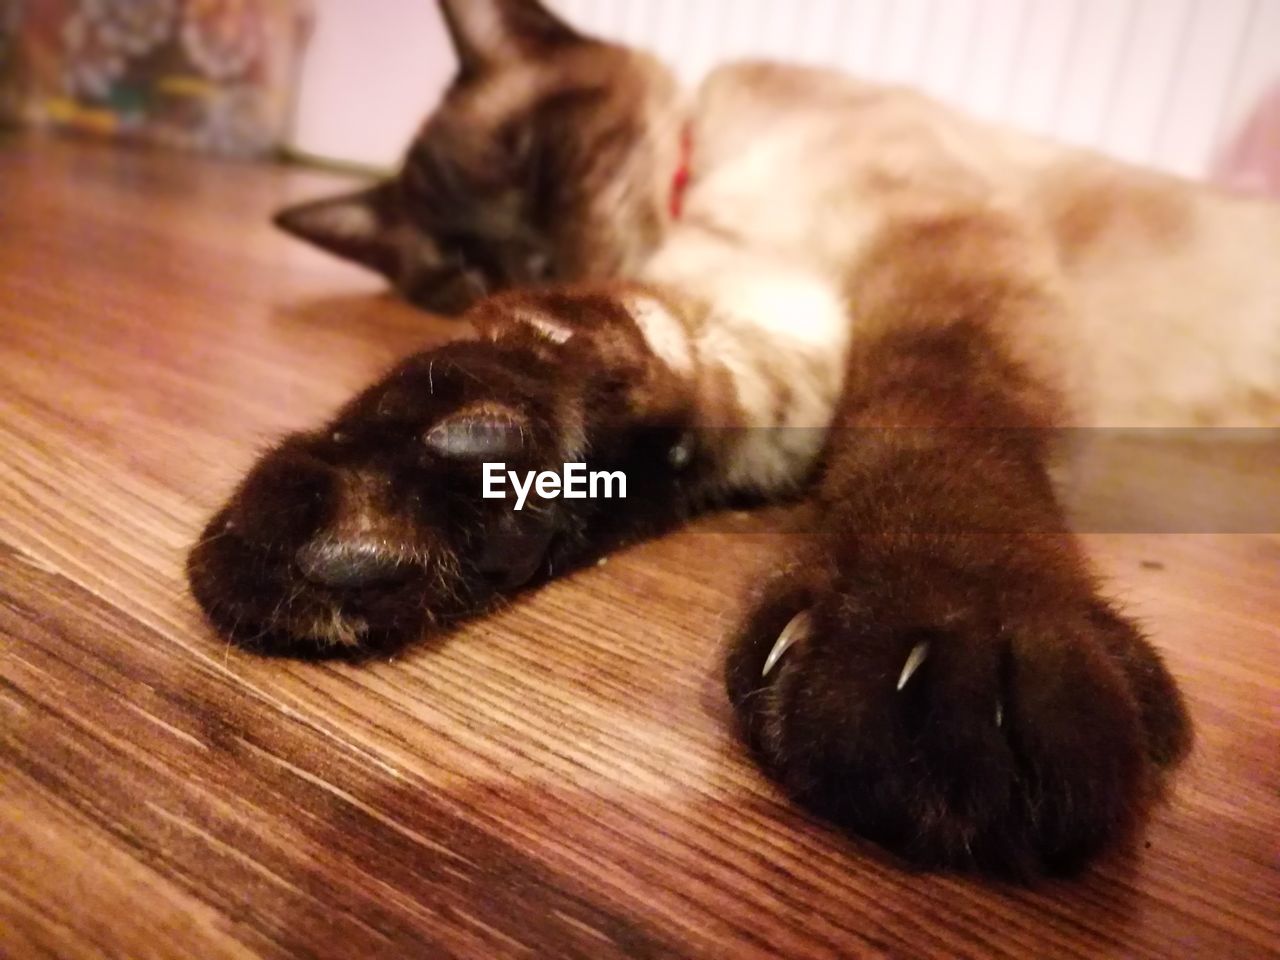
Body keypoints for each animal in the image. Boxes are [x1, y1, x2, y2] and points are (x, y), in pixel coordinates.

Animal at [183, 0, 1280, 880]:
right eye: (460, 264)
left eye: (536, 161)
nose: (529, 257)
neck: (699, 185)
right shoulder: (781, 318)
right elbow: (619, 367)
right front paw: (415, 487)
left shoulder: (928, 245)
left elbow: (940, 414)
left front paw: (953, 632)